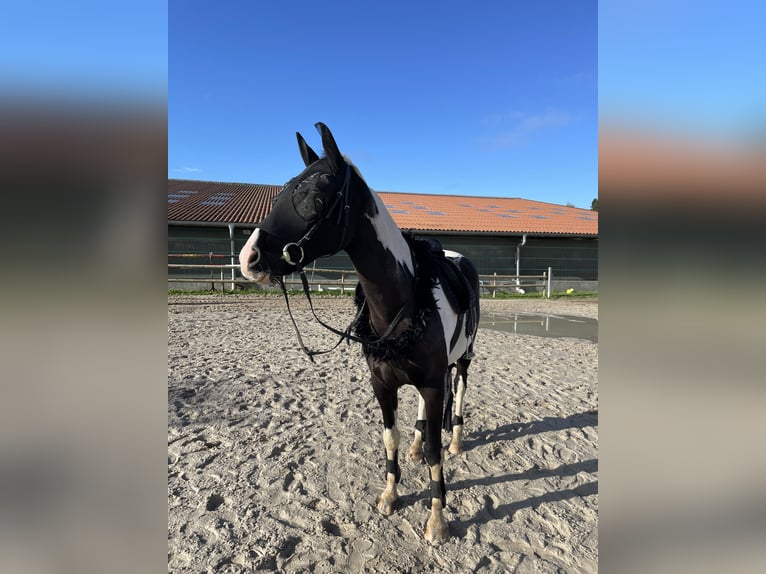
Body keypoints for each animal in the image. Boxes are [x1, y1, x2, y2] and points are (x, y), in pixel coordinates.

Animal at [240, 124, 480, 548]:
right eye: (283, 191)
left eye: (315, 196)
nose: (248, 258)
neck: (405, 301)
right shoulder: (383, 384)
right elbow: (391, 438)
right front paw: (390, 495)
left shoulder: (434, 383)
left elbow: (436, 453)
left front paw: (437, 521)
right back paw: (417, 448)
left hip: (462, 363)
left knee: (460, 397)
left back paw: (455, 441)